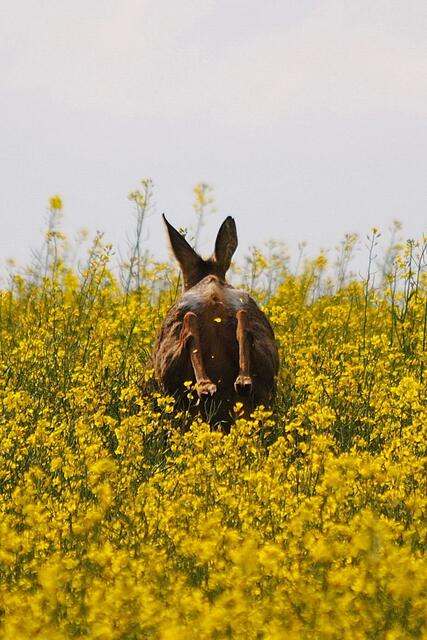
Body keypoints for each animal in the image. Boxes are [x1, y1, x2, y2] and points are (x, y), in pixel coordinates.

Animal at [153, 214, 279, 426]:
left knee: (189, 327)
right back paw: (240, 382)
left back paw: (206, 387)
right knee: (243, 325)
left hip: (170, 370)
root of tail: (213, 291)